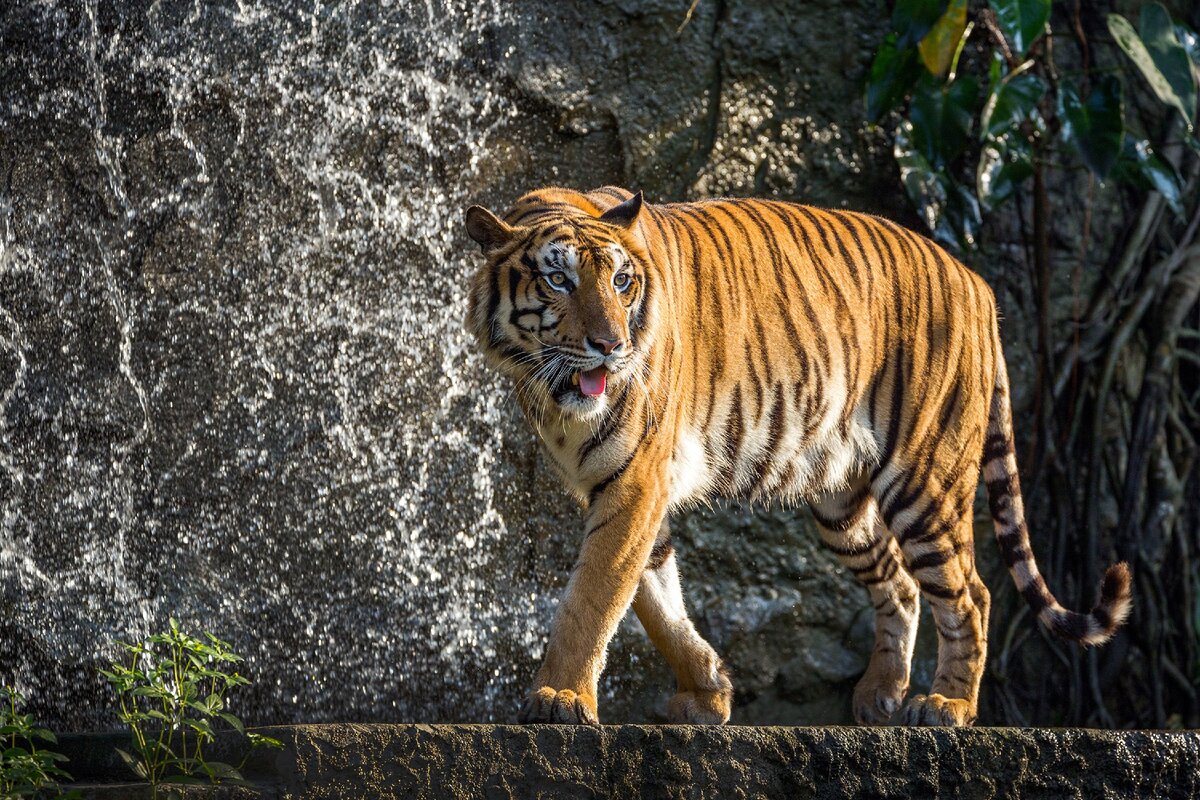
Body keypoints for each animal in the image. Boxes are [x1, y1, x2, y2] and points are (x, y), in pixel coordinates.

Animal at [463, 185, 1128, 724]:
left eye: (621, 282)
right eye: (559, 281)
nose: (611, 346)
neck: (550, 391)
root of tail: (978, 284)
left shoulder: (635, 481)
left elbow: (594, 597)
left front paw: (559, 698)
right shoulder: (621, 488)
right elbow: (655, 600)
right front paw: (708, 691)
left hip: (924, 481)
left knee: (972, 594)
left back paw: (948, 705)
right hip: (843, 504)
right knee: (901, 584)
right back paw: (880, 695)